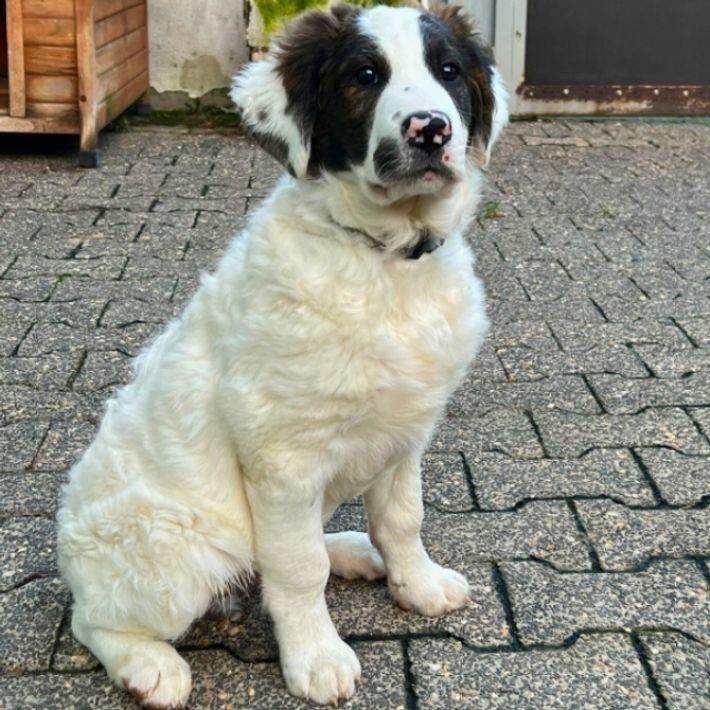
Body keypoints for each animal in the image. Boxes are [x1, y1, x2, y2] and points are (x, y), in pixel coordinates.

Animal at [57, 4, 507, 706]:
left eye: (449, 71)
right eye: (365, 76)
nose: (431, 129)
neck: (381, 257)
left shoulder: (405, 432)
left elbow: (402, 519)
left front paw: (418, 584)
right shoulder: (282, 455)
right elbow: (297, 569)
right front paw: (316, 658)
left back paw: (350, 549)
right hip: (176, 552)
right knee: (93, 619)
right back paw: (149, 666)